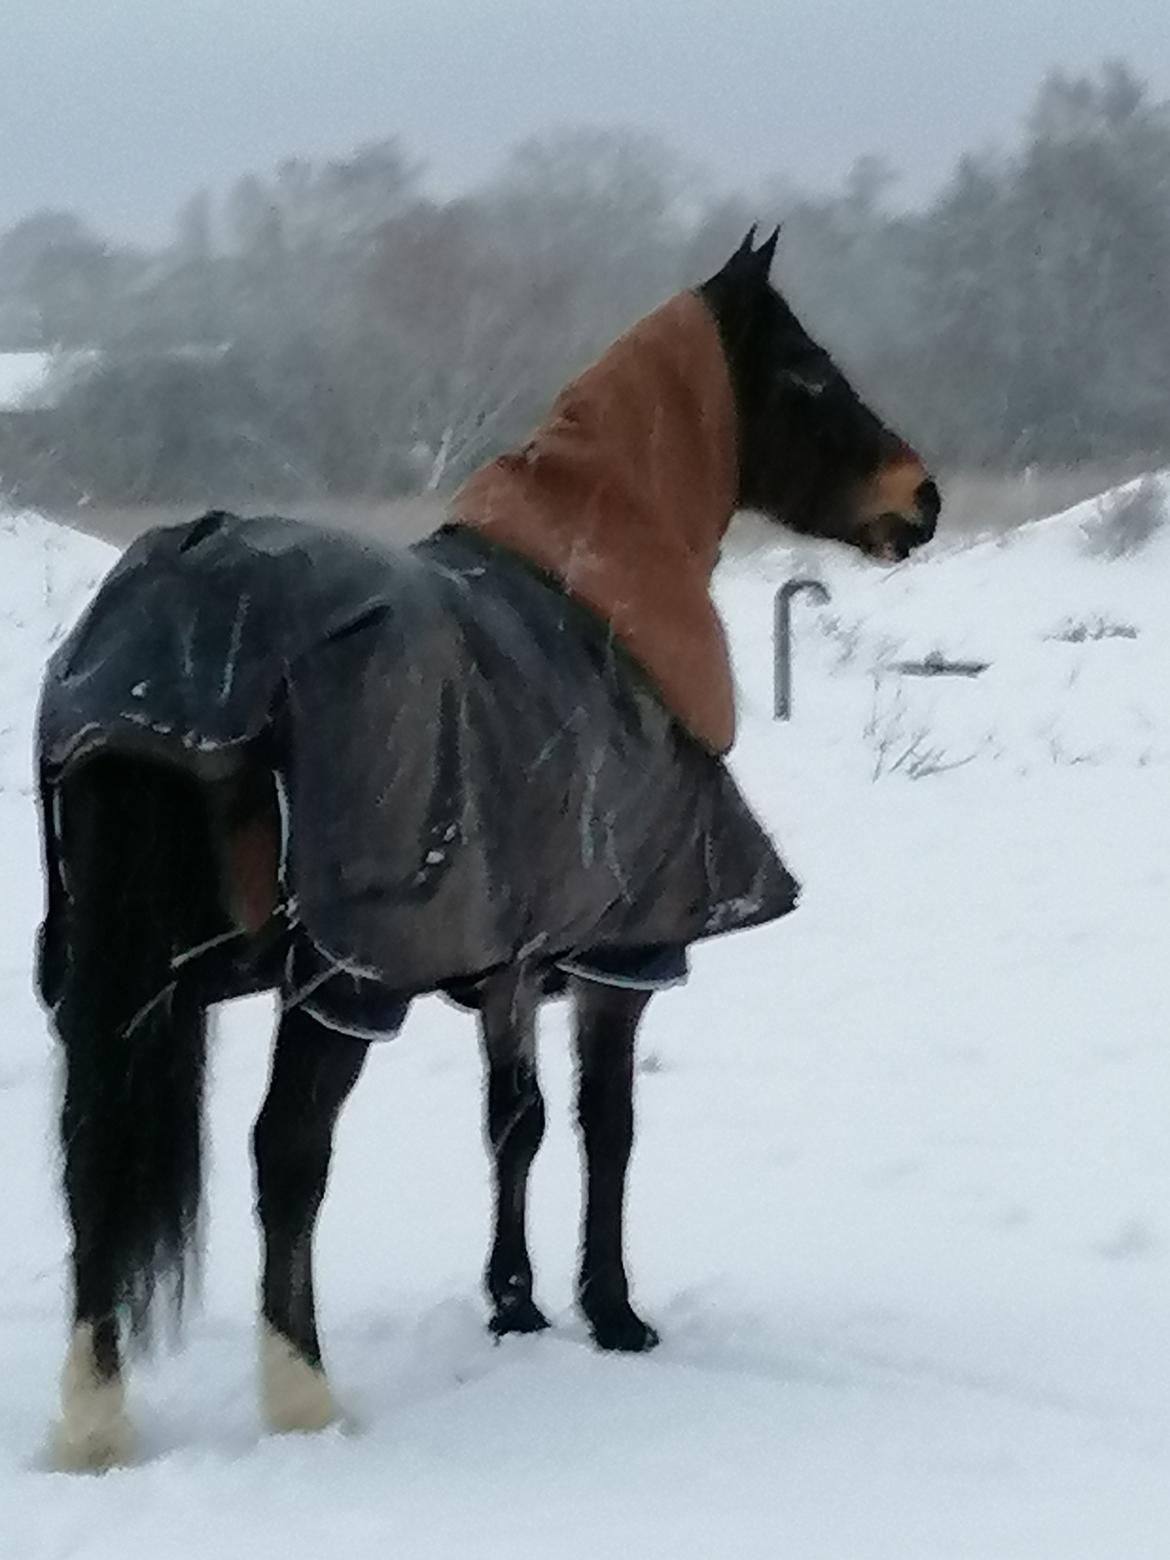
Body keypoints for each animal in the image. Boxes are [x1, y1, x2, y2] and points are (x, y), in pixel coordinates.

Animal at [35, 229, 939, 1470]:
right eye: (807, 374)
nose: (923, 498)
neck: (599, 598)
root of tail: (177, 614)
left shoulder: (511, 955)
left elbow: (516, 1123)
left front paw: (515, 1303)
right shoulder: (626, 953)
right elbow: (608, 1127)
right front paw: (614, 1311)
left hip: (124, 979)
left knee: (96, 1157)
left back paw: (95, 1421)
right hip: (344, 980)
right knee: (287, 1155)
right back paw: (303, 1397)